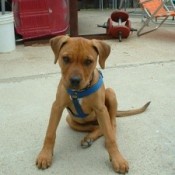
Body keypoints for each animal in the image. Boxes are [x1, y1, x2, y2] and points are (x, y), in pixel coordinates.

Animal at [36, 35, 150, 174]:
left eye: (88, 61)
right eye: (66, 58)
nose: (74, 81)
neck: (78, 92)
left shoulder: (101, 109)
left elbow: (110, 138)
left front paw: (118, 159)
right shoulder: (57, 106)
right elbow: (50, 133)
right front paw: (45, 155)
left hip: (110, 93)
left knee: (111, 124)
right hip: (70, 119)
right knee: (95, 127)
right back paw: (88, 138)